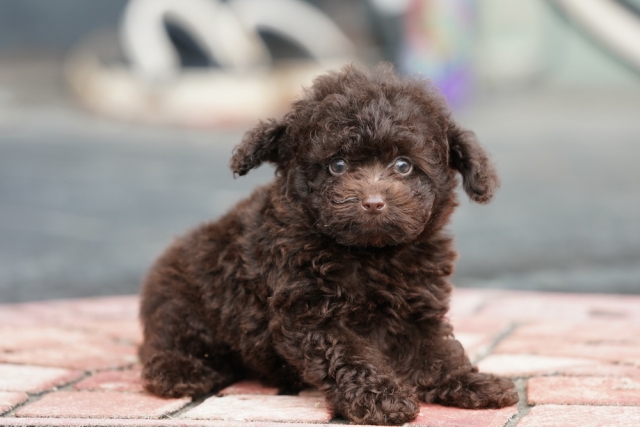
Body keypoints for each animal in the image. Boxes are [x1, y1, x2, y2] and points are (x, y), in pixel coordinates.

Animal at [139, 63, 518, 425]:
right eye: (337, 165)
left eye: (403, 165)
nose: (373, 202)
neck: (372, 254)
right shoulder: (309, 313)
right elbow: (348, 355)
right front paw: (381, 398)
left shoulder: (418, 309)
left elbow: (437, 352)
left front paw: (471, 382)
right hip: (182, 303)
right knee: (162, 345)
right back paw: (181, 371)